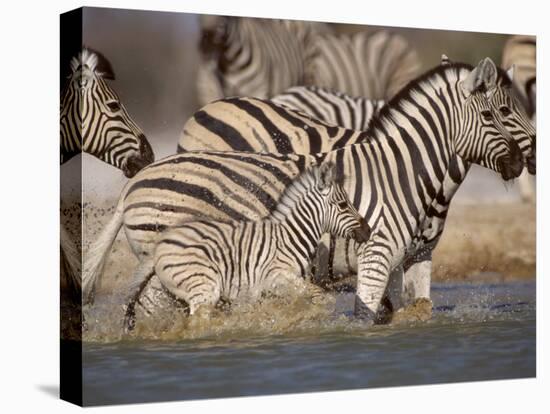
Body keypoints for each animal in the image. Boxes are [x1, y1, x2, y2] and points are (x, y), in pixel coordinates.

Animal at [83, 58, 536, 324]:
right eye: (498, 113)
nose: (520, 163)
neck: (401, 172)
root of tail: (138, 180)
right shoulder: (377, 255)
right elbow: (365, 314)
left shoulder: (414, 256)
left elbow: (414, 310)